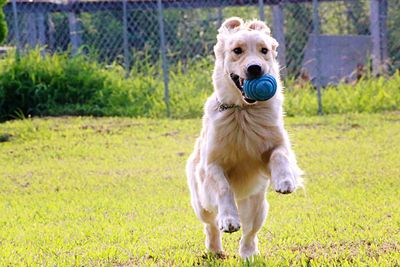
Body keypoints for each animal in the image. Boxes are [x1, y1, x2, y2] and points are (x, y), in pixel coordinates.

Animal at [186, 17, 302, 260]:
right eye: (237, 50)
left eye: (264, 50)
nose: (255, 68)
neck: (242, 111)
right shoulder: (212, 164)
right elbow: (223, 187)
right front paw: (229, 219)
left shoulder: (275, 144)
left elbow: (279, 154)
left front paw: (285, 180)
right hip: (201, 203)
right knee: (210, 225)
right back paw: (215, 249)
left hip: (258, 206)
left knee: (250, 233)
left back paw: (249, 254)